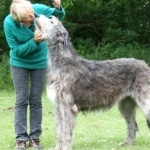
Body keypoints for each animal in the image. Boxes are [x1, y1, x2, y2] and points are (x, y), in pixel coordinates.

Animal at [35, 15, 150, 150]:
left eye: (51, 21)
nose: (36, 15)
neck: (62, 62)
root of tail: (145, 65)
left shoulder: (68, 106)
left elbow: (66, 131)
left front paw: (66, 147)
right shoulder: (58, 105)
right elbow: (59, 130)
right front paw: (58, 147)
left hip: (145, 100)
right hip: (126, 104)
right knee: (133, 124)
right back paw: (127, 143)